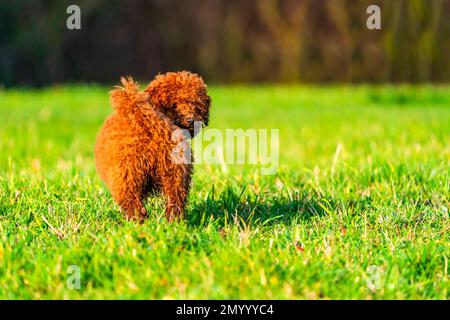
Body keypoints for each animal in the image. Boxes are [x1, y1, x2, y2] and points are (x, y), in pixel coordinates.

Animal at [95, 72, 211, 222]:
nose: (191, 120)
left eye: (195, 104)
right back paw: (173, 221)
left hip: (127, 174)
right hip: (174, 173)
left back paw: (137, 221)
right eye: (174, 105)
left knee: (131, 201)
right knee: (175, 199)